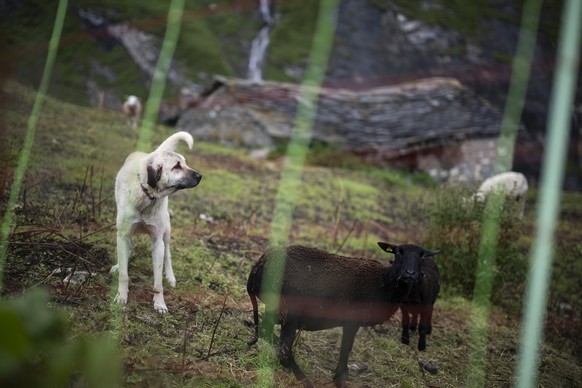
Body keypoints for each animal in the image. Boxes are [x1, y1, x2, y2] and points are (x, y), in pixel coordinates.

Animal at [112, 132, 203, 314]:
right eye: (176, 166)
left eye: (185, 162)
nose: (200, 176)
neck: (147, 196)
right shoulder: (123, 234)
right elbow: (124, 274)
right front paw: (121, 296)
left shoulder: (157, 241)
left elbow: (158, 281)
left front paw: (160, 303)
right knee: (128, 248)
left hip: (166, 232)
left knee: (168, 253)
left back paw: (171, 277)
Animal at [248, 242, 442, 384]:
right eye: (397, 252)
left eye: (422, 256)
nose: (409, 273)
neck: (384, 283)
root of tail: (259, 265)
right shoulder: (352, 321)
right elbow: (346, 348)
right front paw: (340, 376)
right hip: (290, 311)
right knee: (284, 349)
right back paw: (303, 378)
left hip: (279, 310)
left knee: (266, 332)